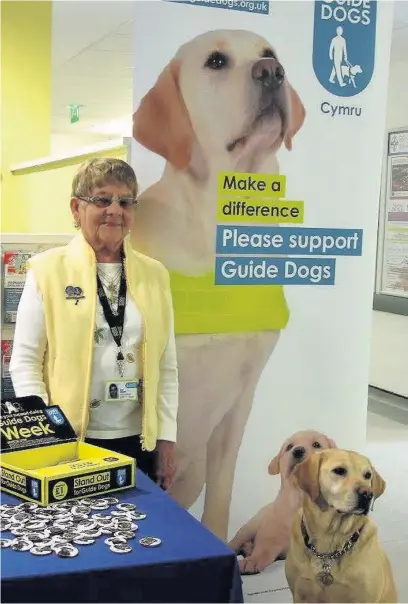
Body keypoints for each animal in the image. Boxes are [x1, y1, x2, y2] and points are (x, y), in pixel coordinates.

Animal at [228, 430, 336, 576]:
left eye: (316, 444)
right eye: (289, 447)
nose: (297, 451)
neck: (300, 498)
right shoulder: (271, 535)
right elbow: (263, 549)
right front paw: (252, 561)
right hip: (249, 527)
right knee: (236, 541)